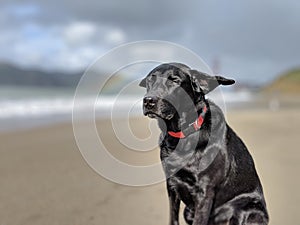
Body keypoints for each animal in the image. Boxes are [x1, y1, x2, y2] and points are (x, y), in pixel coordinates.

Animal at [139, 62, 268, 225]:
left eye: (174, 80)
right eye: (150, 80)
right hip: (188, 211)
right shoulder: (171, 185)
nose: (149, 100)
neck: (182, 134)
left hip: (249, 208)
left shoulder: (204, 191)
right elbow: (173, 219)